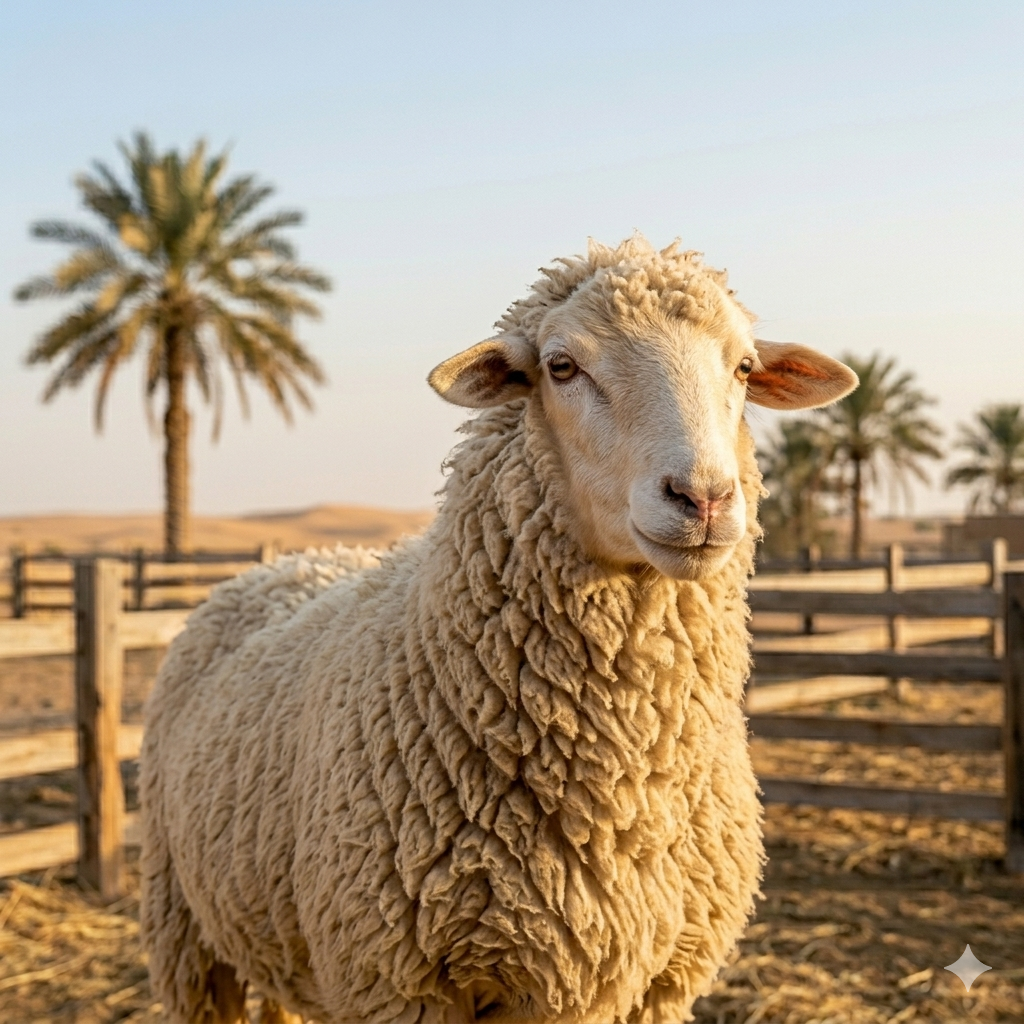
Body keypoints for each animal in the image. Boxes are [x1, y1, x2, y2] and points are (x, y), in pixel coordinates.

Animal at [140, 234, 857, 1024]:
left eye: (745, 367)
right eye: (562, 366)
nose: (702, 498)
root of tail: (280, 565)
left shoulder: (663, 983)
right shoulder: (400, 982)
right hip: (184, 924)